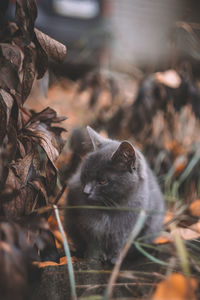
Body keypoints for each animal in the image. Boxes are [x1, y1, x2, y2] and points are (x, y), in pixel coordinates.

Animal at [65, 126, 165, 262]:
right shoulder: (85, 223)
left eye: (102, 181)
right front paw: (93, 257)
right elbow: (92, 241)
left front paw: (115, 258)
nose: (86, 191)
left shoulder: (129, 226)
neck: (110, 209)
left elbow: (119, 242)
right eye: (85, 175)